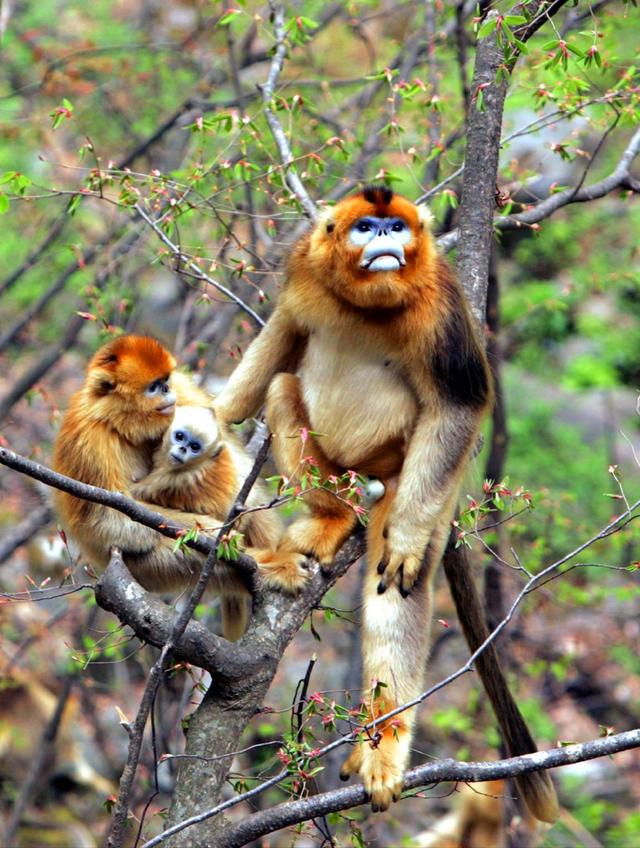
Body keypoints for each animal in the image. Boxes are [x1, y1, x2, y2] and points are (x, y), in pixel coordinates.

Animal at [214, 186, 556, 820]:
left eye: (395, 226)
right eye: (365, 226)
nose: (382, 240)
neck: (367, 307)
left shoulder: (440, 309)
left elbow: (459, 404)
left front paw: (405, 542)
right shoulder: (302, 271)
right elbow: (280, 341)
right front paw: (211, 417)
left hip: (415, 476)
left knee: (400, 579)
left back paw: (385, 743)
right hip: (337, 466)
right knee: (282, 388)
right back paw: (332, 517)